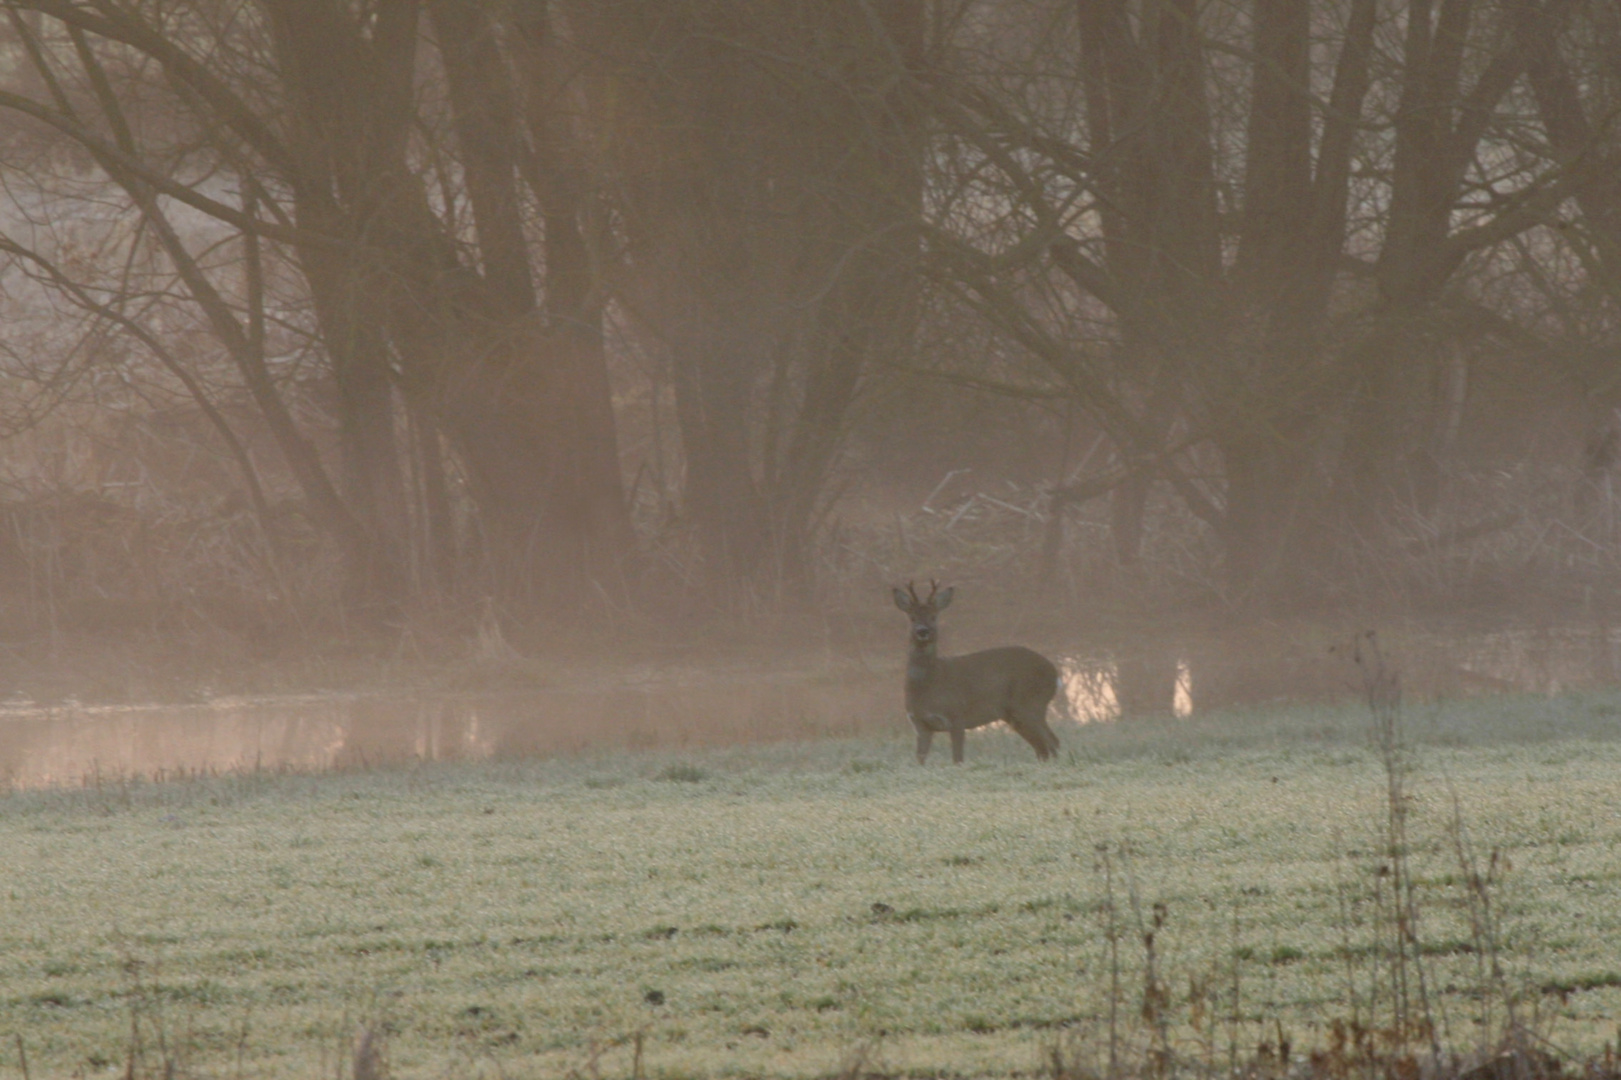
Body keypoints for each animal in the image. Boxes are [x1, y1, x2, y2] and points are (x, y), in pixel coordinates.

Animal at [888, 577, 1063, 762]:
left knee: (1051, 740)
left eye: (933, 616)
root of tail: (1054, 673)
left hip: (1031, 703)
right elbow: (920, 759)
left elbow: (958, 758)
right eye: (912, 618)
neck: (928, 685)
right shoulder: (920, 724)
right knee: (1041, 747)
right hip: (1014, 715)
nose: (923, 631)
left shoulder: (956, 715)